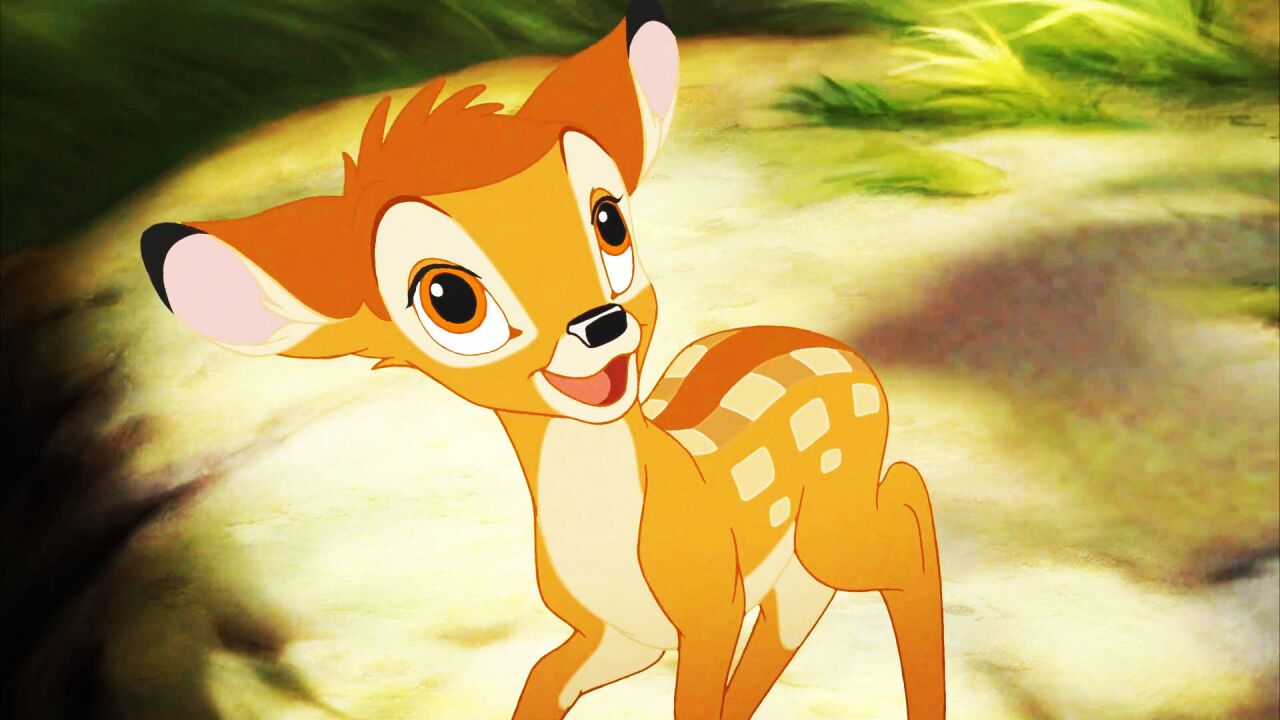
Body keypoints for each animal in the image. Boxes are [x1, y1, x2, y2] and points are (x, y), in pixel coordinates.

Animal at [138, 2, 945, 717]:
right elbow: (541, 684)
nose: (601, 322)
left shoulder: (708, 611)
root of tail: (842, 352)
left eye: (609, 220)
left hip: (829, 528)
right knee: (810, 600)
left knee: (905, 512)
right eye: (449, 298)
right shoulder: (617, 638)